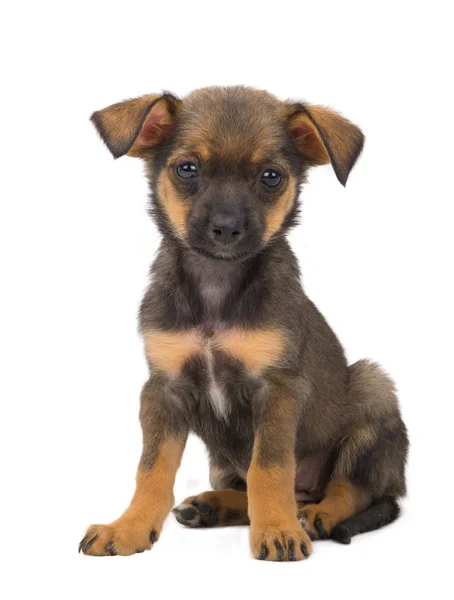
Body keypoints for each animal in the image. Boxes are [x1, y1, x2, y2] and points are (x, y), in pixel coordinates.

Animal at [80, 86, 410, 560]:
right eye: (187, 169)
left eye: (271, 177)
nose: (226, 228)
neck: (217, 286)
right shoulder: (164, 389)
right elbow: (152, 468)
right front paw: (129, 526)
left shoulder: (277, 389)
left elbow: (269, 468)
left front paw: (277, 530)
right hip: (221, 461)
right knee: (255, 489)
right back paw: (212, 506)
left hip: (372, 386)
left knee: (353, 488)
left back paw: (316, 515)